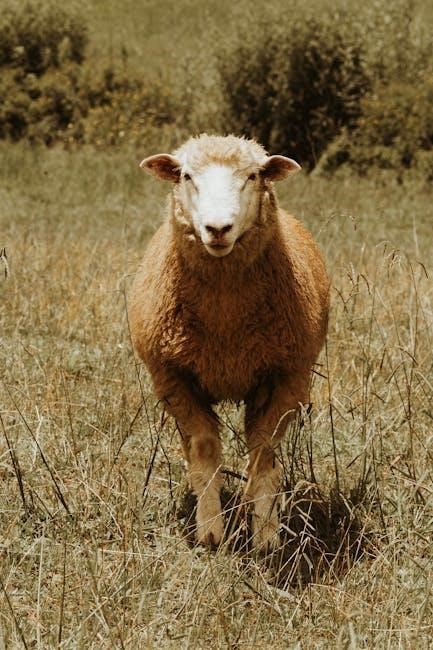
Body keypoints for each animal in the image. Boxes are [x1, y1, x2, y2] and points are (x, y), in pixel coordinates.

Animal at [129, 134, 330, 549]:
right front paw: (210, 531)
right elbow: (205, 448)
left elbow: (265, 452)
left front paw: (265, 535)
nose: (217, 228)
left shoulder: (286, 378)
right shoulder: (174, 379)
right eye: (187, 176)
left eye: (253, 176)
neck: (226, 322)